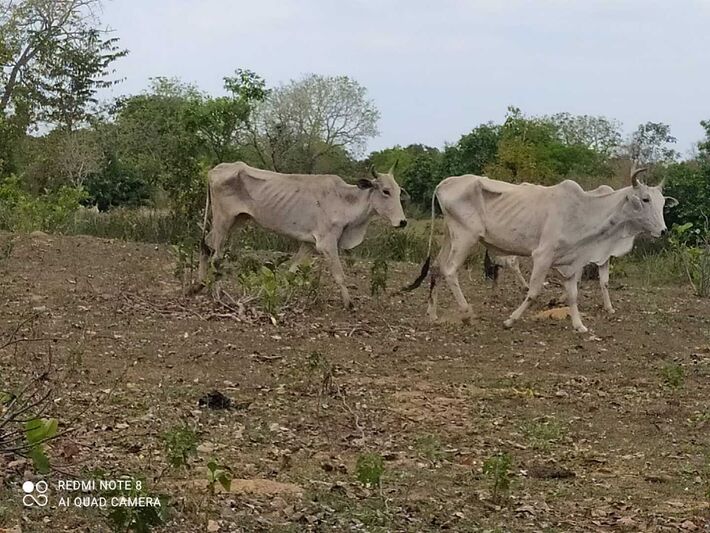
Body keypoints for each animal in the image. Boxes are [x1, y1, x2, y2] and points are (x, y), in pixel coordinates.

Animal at [196, 160, 406, 308]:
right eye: (385, 191)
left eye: (398, 192)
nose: (402, 222)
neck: (344, 201)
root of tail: (214, 170)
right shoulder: (326, 244)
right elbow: (340, 275)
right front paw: (349, 304)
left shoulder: (309, 244)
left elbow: (292, 270)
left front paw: (279, 295)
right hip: (223, 220)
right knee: (216, 256)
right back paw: (217, 292)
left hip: (235, 220)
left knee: (206, 245)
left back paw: (199, 285)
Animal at [406, 168, 680, 330]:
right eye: (645, 199)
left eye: (662, 202)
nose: (663, 231)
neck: (583, 210)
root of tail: (445, 183)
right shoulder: (542, 256)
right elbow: (534, 291)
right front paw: (511, 319)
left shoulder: (571, 262)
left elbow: (572, 294)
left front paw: (579, 326)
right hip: (465, 238)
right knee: (450, 270)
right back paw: (465, 312)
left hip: (450, 236)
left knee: (437, 268)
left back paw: (432, 314)